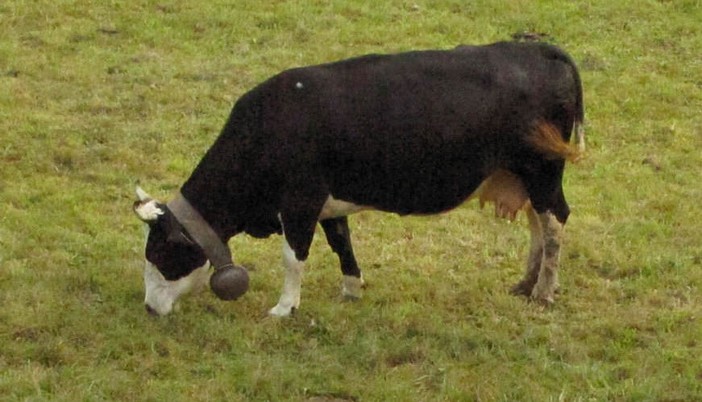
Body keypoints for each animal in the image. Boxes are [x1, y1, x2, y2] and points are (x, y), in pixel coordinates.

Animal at [132, 40, 584, 318]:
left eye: (159, 254)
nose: (149, 308)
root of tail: (538, 48)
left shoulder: (299, 201)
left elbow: (293, 257)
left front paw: (284, 308)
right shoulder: (328, 201)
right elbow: (340, 241)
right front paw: (351, 287)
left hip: (542, 172)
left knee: (555, 224)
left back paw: (543, 292)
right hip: (524, 178)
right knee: (539, 226)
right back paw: (525, 284)